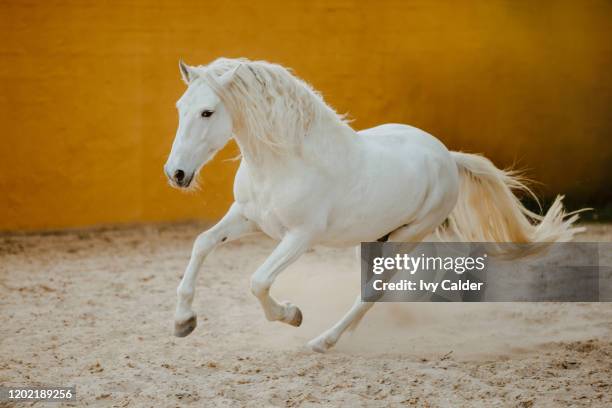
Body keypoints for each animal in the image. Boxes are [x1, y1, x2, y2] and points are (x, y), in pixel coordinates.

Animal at [164, 58, 584, 354]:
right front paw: (183, 322)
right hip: (374, 241)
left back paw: (323, 341)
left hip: (406, 238)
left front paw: (292, 315)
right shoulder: (247, 218)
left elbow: (258, 281)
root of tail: (447, 157)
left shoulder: (300, 237)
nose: (176, 174)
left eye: (207, 112)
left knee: (374, 291)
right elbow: (202, 243)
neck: (285, 163)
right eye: (180, 106)